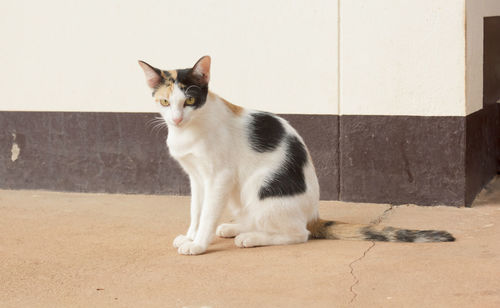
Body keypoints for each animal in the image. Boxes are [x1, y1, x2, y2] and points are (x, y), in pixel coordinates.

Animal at [139, 56, 456, 256]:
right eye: (165, 102)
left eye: (190, 100)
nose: (176, 119)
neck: (189, 131)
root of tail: (313, 215)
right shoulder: (196, 177)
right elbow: (197, 210)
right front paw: (191, 235)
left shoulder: (219, 176)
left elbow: (207, 212)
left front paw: (198, 244)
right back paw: (235, 226)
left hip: (260, 185)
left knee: (298, 233)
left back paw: (250, 237)